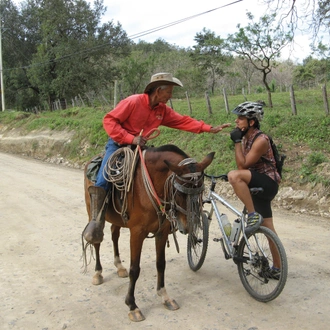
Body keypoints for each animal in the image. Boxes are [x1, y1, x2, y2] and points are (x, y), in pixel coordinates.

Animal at [82, 143, 215, 320]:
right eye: (179, 192)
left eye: (201, 192)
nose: (189, 226)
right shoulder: (136, 234)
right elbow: (135, 269)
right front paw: (132, 305)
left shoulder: (162, 232)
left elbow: (161, 264)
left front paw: (164, 296)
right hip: (93, 211)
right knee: (96, 239)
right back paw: (98, 273)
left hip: (118, 218)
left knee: (114, 234)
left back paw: (119, 266)